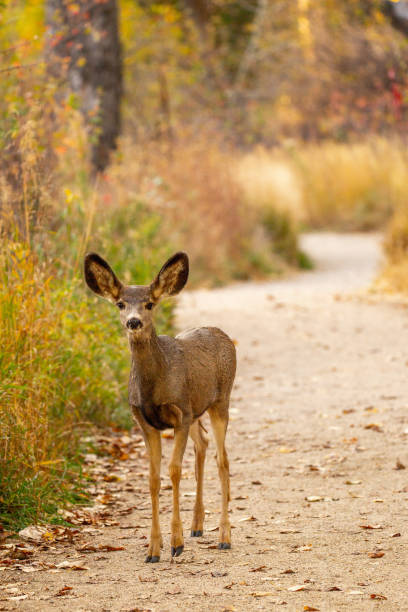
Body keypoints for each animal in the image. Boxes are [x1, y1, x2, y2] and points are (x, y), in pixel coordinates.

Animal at [83, 251, 236, 560]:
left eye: (149, 304)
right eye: (120, 303)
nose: (133, 322)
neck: (154, 385)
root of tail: (222, 334)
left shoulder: (180, 414)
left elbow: (174, 471)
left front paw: (176, 542)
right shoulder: (146, 422)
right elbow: (153, 479)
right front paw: (154, 547)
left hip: (220, 401)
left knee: (222, 458)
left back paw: (224, 536)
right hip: (196, 410)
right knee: (203, 443)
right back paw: (197, 526)